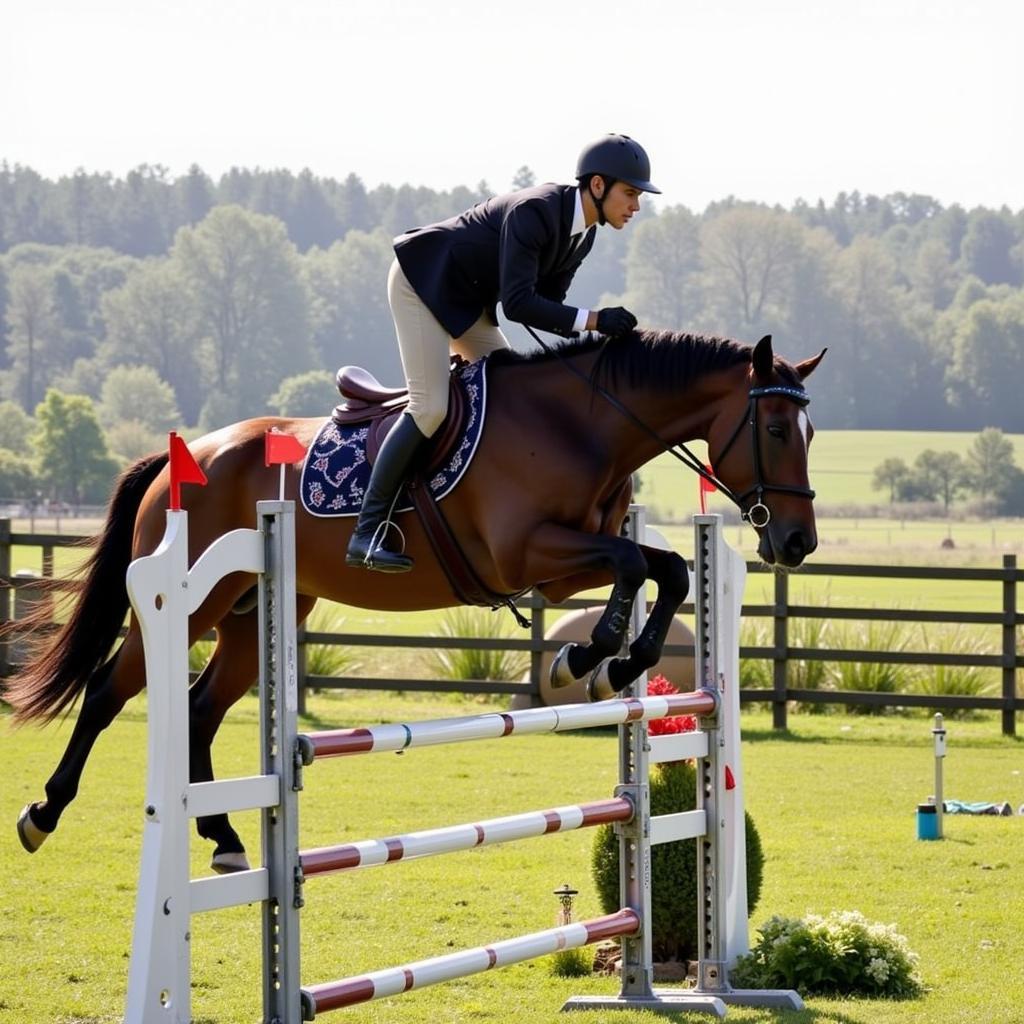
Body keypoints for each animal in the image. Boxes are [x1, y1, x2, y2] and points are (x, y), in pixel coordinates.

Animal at [4, 329, 823, 872]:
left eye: (811, 431)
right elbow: (633, 563)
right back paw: (44, 813)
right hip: (194, 604)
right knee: (110, 691)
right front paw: (588, 657)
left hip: (256, 612)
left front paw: (618, 662)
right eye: (776, 428)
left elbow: (669, 569)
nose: (797, 543)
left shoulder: (562, 569)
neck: (579, 425)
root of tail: (185, 458)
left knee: (201, 707)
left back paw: (228, 842)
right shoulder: (529, 551)